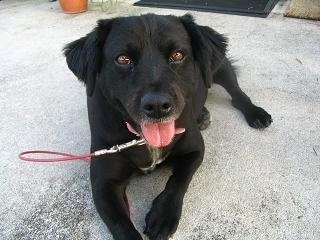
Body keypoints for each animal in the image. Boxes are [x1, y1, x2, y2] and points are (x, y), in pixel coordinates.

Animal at [64, 13, 272, 240]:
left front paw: (163, 216)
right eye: (123, 59)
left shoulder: (195, 151)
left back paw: (255, 113)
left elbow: (178, 181)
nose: (157, 106)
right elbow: (121, 224)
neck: (143, 138)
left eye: (178, 55)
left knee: (236, 93)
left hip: (221, 67)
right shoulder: (103, 183)